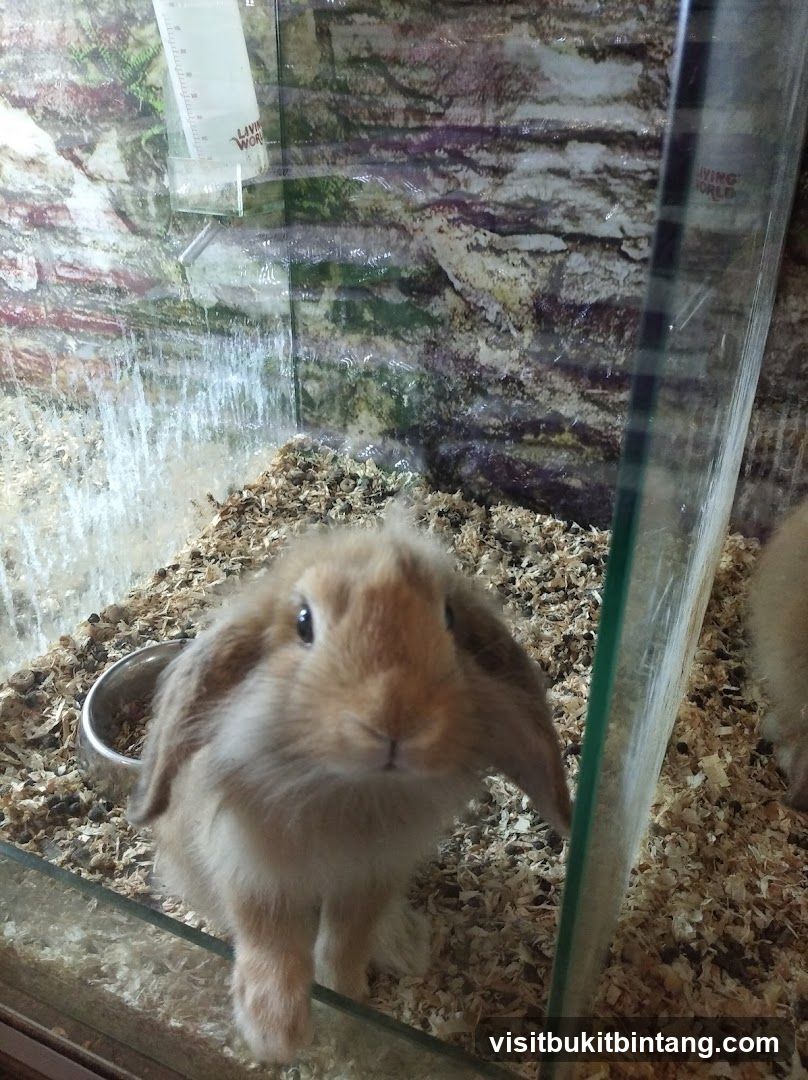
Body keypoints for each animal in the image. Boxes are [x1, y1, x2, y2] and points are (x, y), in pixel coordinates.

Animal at [127, 515, 572, 1063]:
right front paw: (276, 1035)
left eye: (448, 617)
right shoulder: (252, 869)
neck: (346, 788)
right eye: (303, 622)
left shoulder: (372, 875)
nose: (396, 719)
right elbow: (269, 941)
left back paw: (406, 946)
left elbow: (343, 943)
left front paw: (346, 1007)